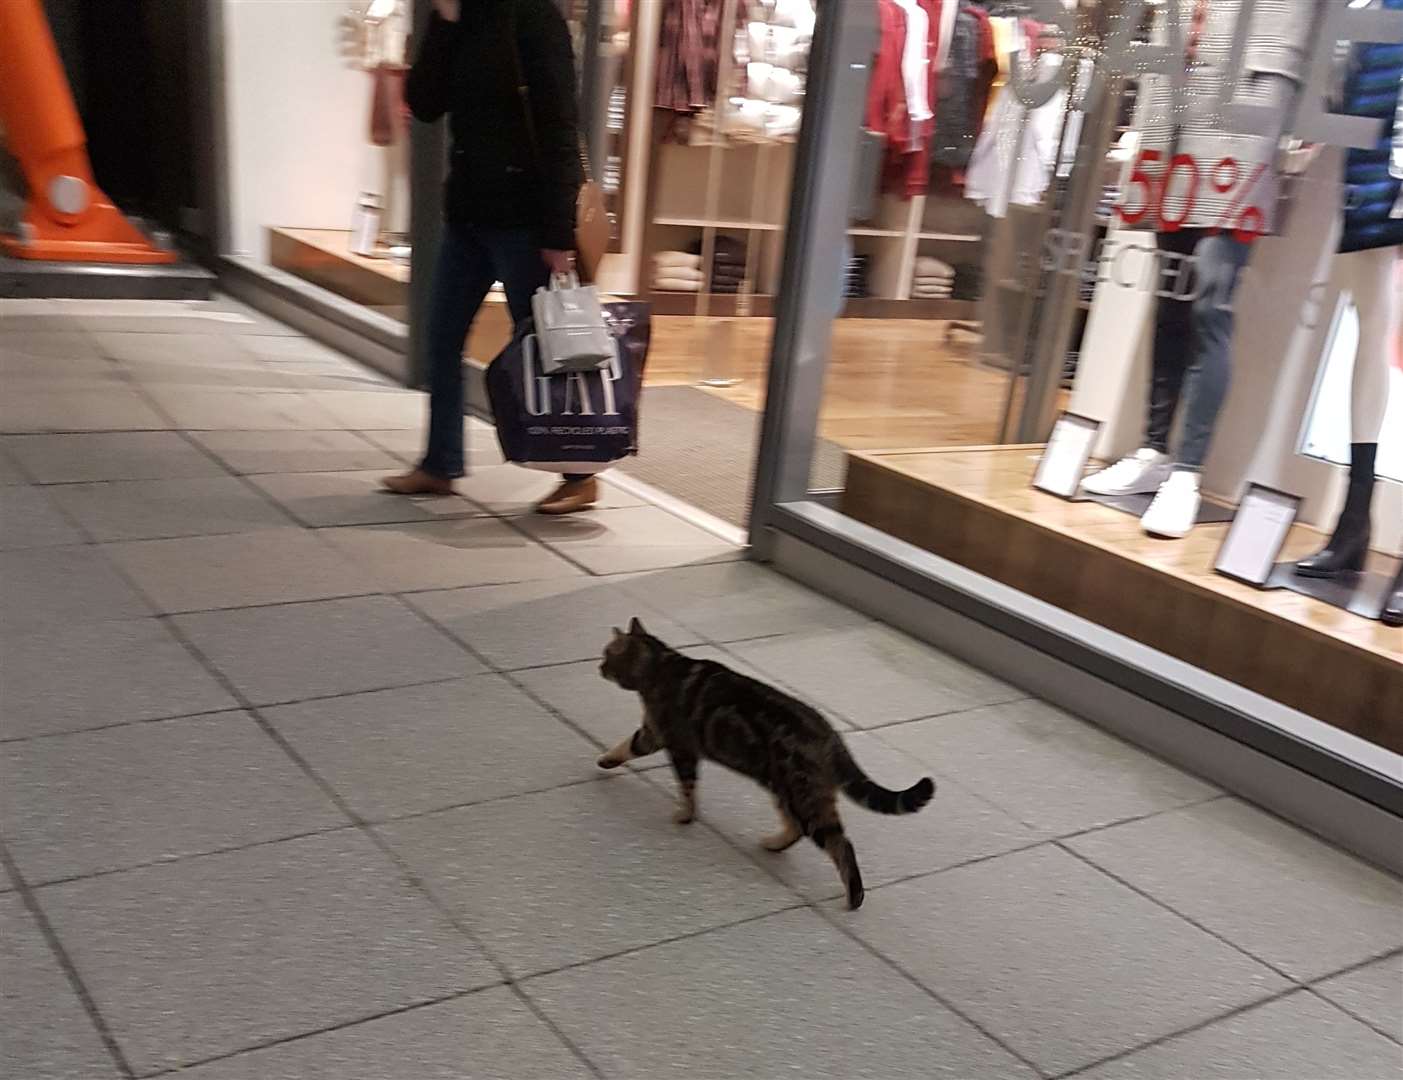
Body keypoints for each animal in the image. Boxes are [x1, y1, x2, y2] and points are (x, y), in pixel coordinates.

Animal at [597, 617, 937, 903]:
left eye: (605, 654)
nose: (598, 667)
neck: (661, 666)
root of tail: (830, 735)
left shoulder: (677, 745)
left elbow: (686, 786)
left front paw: (685, 815)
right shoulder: (651, 734)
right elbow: (625, 747)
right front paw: (606, 760)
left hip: (802, 795)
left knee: (840, 843)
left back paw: (854, 898)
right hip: (785, 790)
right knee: (799, 829)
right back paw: (774, 844)